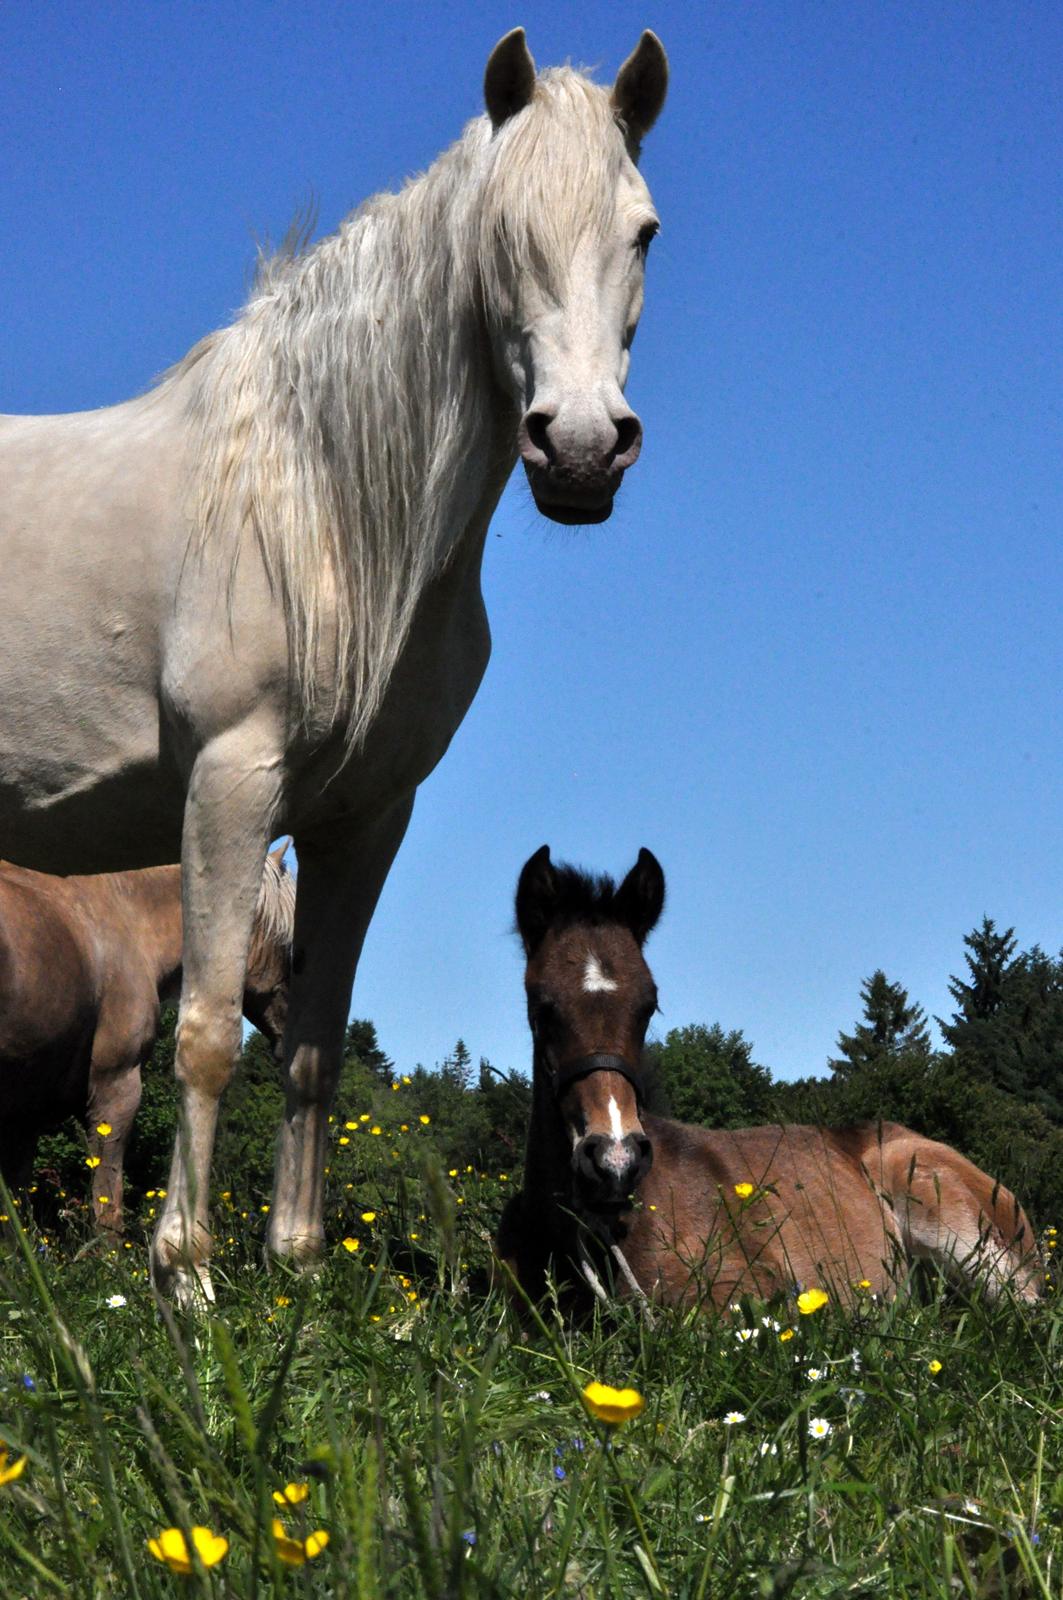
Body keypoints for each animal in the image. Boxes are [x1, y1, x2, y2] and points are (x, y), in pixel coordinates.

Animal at [0, 844, 292, 1228]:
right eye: (286, 939)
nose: (292, 1031)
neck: (131, 920)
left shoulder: (24, 1114)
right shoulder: (116, 1090)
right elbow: (107, 1203)